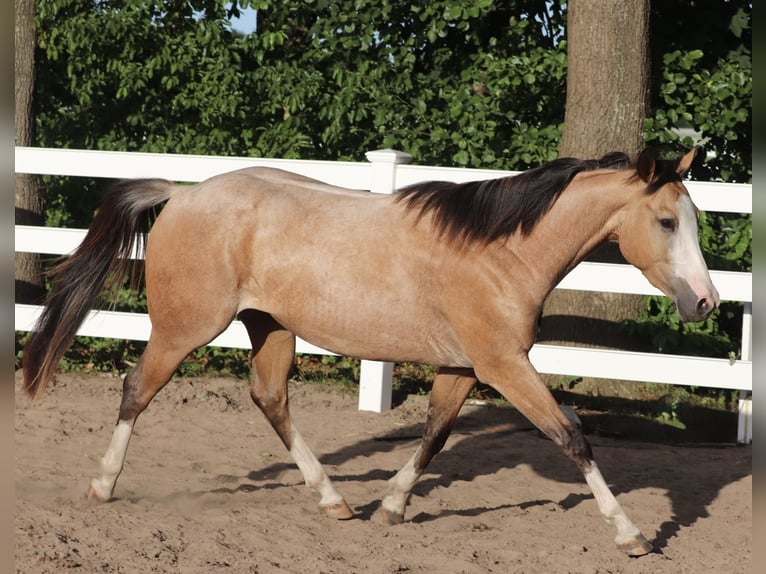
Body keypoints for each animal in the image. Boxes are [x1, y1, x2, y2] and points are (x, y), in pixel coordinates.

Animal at [22, 147, 719, 556]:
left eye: (694, 219)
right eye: (666, 221)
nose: (707, 302)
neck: (500, 251)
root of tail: (183, 191)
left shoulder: (463, 366)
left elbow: (434, 433)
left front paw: (391, 506)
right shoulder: (503, 364)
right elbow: (572, 437)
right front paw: (631, 534)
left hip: (270, 326)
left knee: (270, 398)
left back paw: (335, 502)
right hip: (184, 328)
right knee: (136, 389)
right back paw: (102, 486)